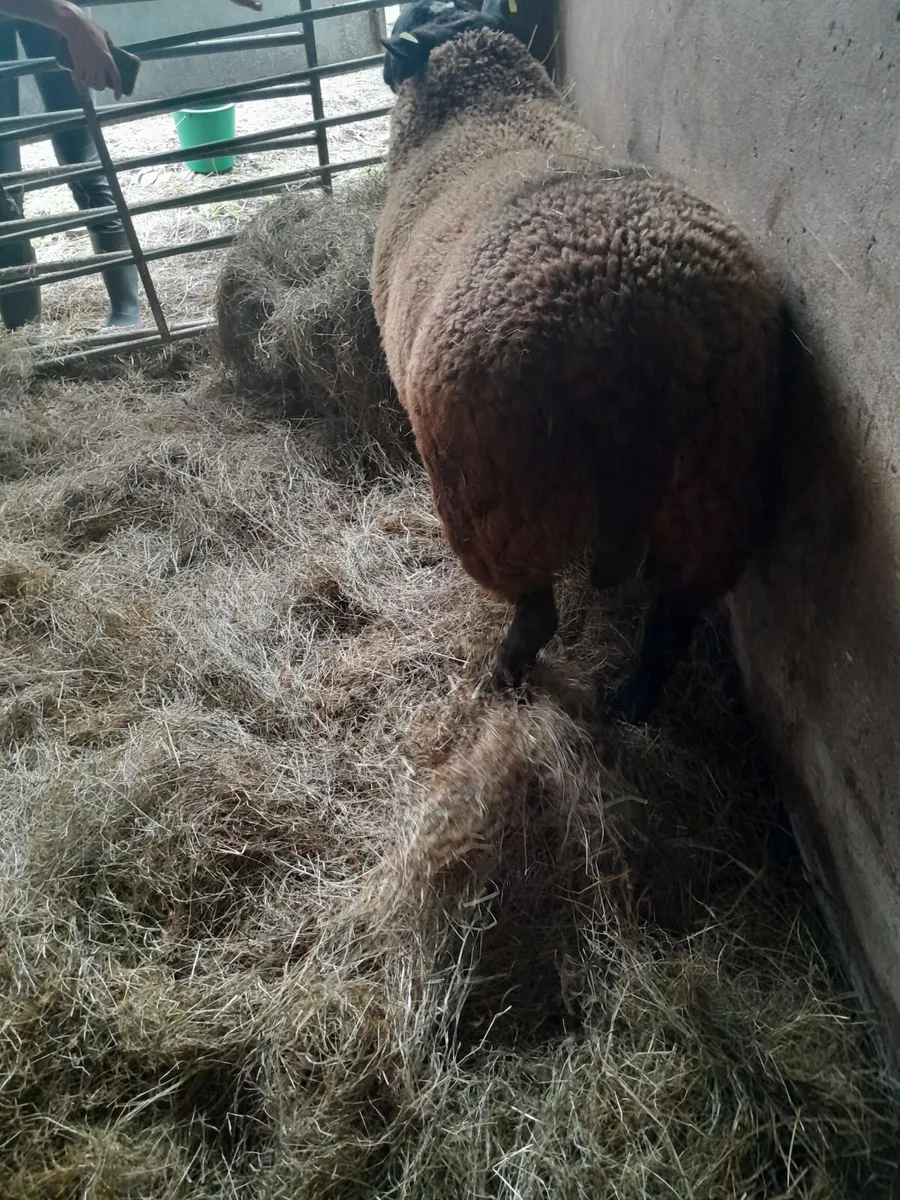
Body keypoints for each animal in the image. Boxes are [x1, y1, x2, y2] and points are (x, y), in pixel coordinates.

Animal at [372, 3, 783, 724]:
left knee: (538, 614)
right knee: (675, 616)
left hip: (500, 498)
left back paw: (501, 678)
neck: (487, 107)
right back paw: (631, 705)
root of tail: (632, 318)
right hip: (718, 483)